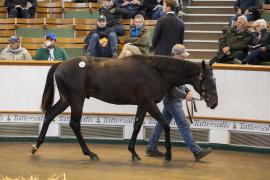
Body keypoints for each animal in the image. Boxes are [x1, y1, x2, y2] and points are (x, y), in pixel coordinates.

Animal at [30, 55, 218, 162]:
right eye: (209, 79)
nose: (214, 103)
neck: (157, 72)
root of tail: (60, 65)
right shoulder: (149, 103)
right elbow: (165, 124)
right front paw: (168, 154)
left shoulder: (143, 104)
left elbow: (137, 125)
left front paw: (133, 152)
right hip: (77, 99)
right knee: (74, 124)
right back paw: (91, 153)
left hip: (66, 99)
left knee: (49, 115)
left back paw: (35, 146)